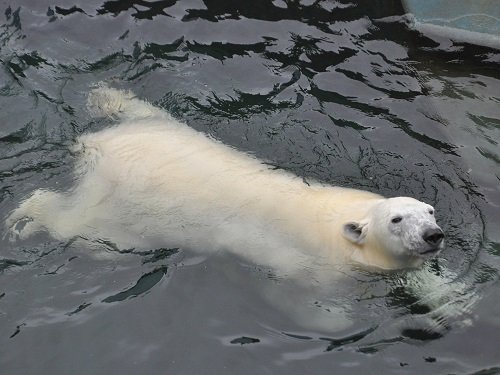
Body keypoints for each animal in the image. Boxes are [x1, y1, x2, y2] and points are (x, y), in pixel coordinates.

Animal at [5, 86, 444, 274]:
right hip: (122, 208)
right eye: (396, 220)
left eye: (430, 211)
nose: (433, 235)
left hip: (167, 131)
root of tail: (95, 144)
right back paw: (21, 221)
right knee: (77, 226)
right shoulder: (308, 264)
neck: (342, 220)